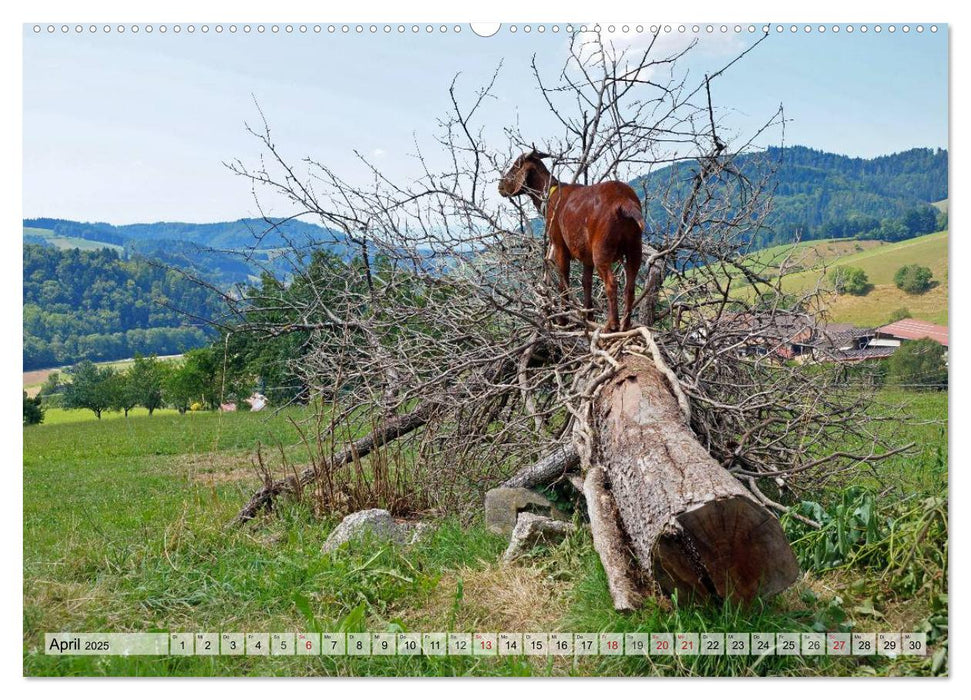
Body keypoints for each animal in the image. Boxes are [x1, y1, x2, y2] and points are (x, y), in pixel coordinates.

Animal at [502, 147, 644, 330]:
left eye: (515, 166)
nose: (500, 186)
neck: (550, 194)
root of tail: (624, 202)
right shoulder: (587, 256)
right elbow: (586, 282)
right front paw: (589, 317)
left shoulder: (559, 246)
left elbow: (564, 280)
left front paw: (563, 319)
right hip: (635, 248)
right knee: (630, 286)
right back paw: (625, 324)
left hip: (602, 250)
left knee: (611, 283)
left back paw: (612, 325)